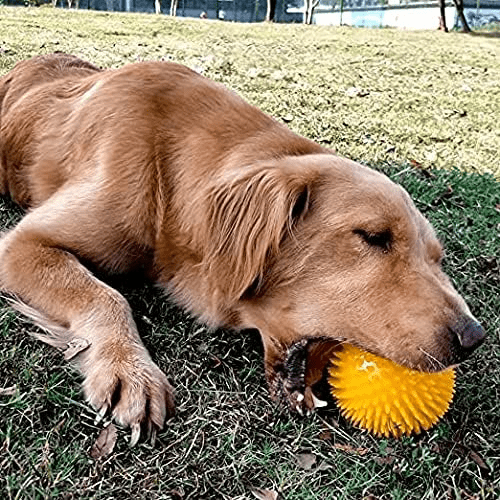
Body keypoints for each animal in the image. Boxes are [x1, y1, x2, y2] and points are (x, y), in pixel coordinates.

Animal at [0, 53, 484, 446]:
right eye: (373, 236)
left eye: (437, 258)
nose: (474, 338)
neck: (170, 181)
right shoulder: (22, 244)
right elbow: (105, 294)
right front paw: (128, 370)